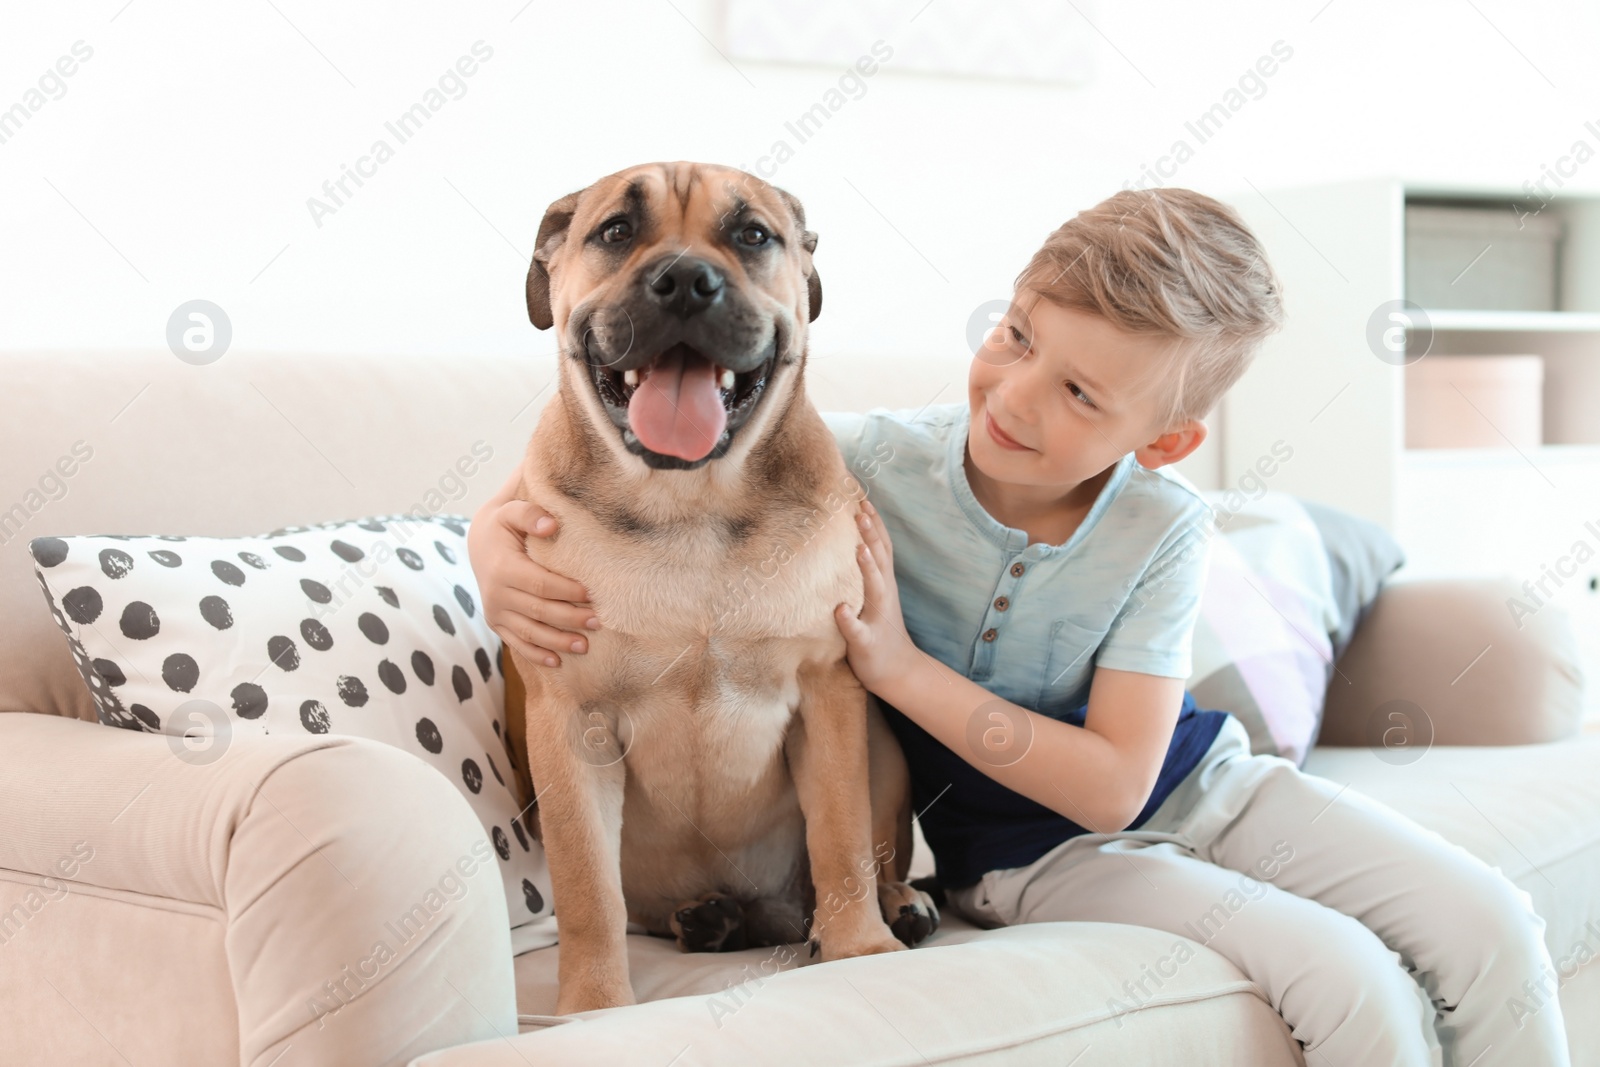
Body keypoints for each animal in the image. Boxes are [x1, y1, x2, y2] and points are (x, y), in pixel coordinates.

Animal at [502, 163, 934, 1017]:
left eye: (752, 235)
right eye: (615, 232)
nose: (684, 282)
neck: (690, 506)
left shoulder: (828, 693)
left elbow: (841, 839)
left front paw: (861, 948)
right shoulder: (573, 722)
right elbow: (586, 884)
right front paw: (594, 1004)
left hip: (886, 746)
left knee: (866, 857)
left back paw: (890, 905)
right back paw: (714, 920)